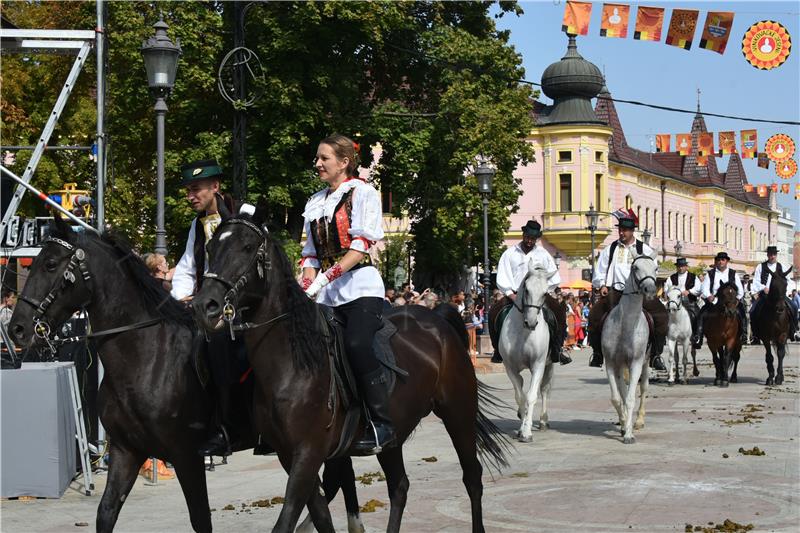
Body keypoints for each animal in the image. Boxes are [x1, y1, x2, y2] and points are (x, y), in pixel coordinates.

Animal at [191, 211, 510, 532]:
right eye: (209, 249)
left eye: (246, 248)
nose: (205, 305)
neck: (291, 363)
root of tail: (439, 318)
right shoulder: (289, 455)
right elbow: (320, 514)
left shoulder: (307, 453)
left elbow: (288, 518)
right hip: (394, 434)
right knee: (399, 486)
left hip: (458, 412)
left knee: (472, 477)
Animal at [500, 256, 556, 442]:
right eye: (526, 289)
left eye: (545, 293)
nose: (531, 322)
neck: (523, 333)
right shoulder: (509, 367)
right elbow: (520, 396)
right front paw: (521, 422)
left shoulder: (538, 364)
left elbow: (531, 396)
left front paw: (526, 432)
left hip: (549, 364)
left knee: (544, 389)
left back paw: (543, 420)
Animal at [604, 251, 660, 442]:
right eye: (635, 267)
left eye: (655, 268)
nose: (650, 290)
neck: (626, 324)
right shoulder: (611, 362)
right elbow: (616, 397)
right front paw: (622, 424)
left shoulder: (635, 362)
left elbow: (630, 398)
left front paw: (628, 433)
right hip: (621, 365)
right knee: (622, 389)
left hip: (646, 362)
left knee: (643, 389)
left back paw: (638, 421)